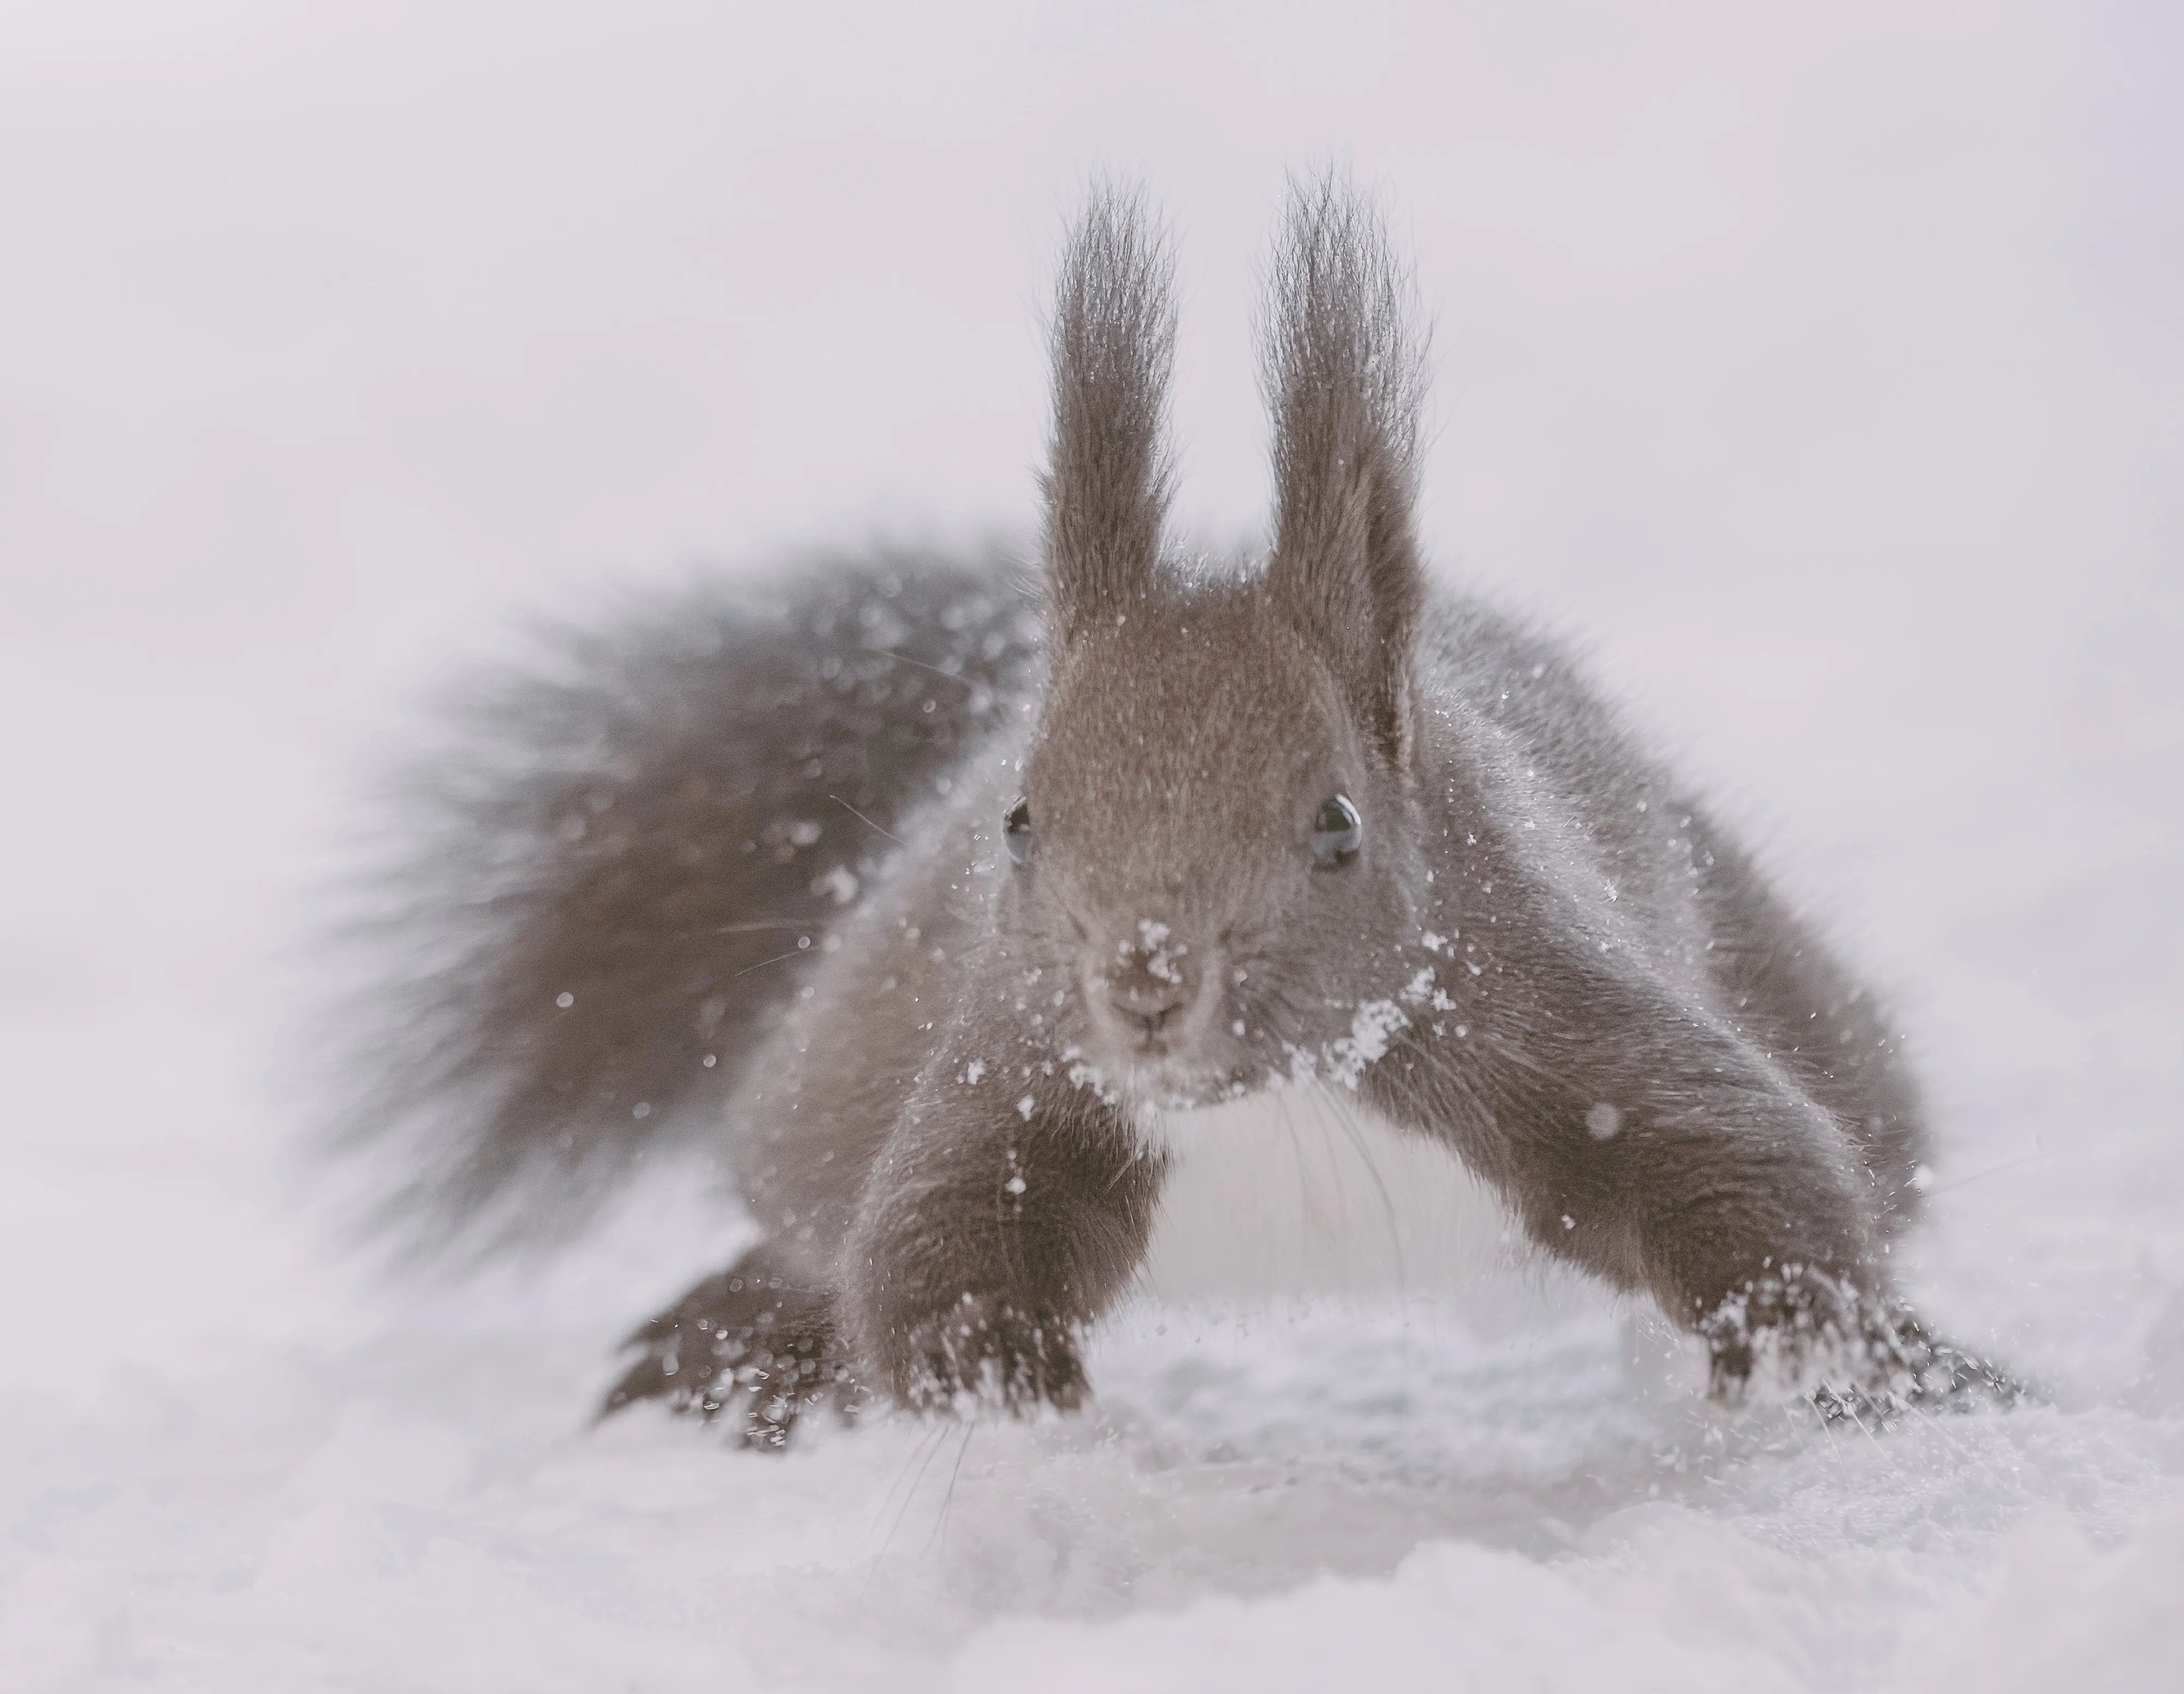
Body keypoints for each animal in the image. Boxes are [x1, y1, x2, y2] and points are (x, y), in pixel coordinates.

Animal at [333, 176, 2022, 1447]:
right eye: (1019, 823)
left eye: (1337, 827)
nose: (1145, 981)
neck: (1279, 1097)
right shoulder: (1013, 1060)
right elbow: (924, 1236)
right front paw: (989, 1382)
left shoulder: (1550, 1009)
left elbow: (1754, 1168)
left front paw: (1812, 1344)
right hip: (839, 1067)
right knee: (814, 1219)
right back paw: (734, 1349)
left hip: (1786, 981)